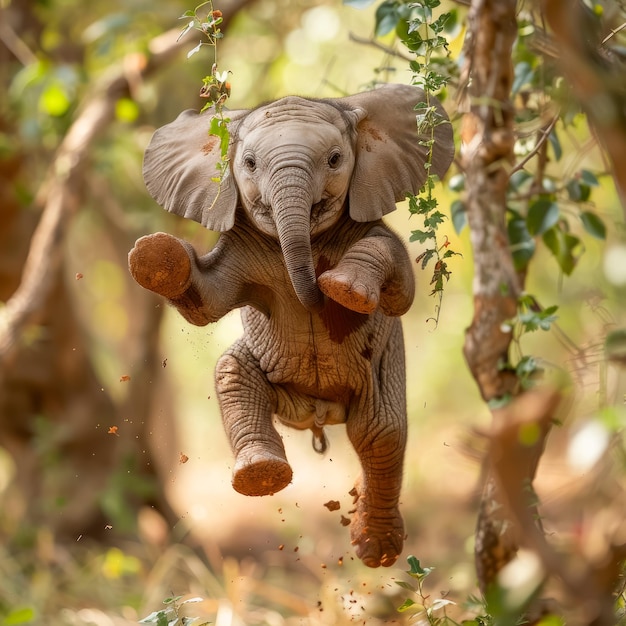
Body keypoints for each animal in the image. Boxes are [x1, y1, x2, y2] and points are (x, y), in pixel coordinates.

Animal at [127, 83, 450, 564]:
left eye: (335, 159)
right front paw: (155, 256)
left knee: (380, 432)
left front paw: (344, 289)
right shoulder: (241, 245)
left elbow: (400, 284)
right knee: (233, 372)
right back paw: (261, 474)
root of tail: (319, 414)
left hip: (382, 367)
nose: (317, 289)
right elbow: (208, 303)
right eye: (249, 164)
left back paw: (376, 551)